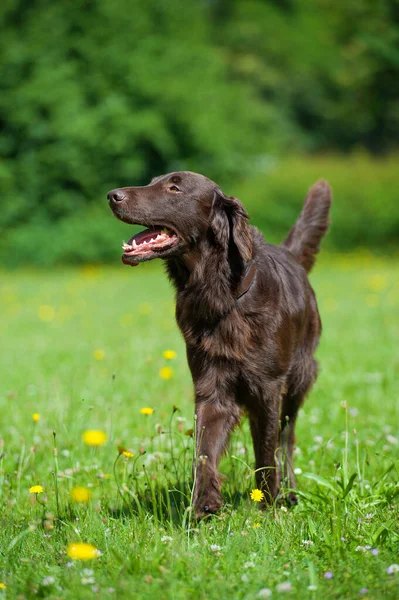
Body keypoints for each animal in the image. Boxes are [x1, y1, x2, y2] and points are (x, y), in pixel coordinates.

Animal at [108, 172, 332, 516]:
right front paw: (204, 502)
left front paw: (267, 504)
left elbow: (266, 450)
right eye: (153, 181)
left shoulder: (268, 386)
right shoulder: (212, 385)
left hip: (300, 376)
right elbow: (204, 450)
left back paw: (288, 492)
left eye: (174, 187)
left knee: (286, 436)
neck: (220, 294)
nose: (112, 195)